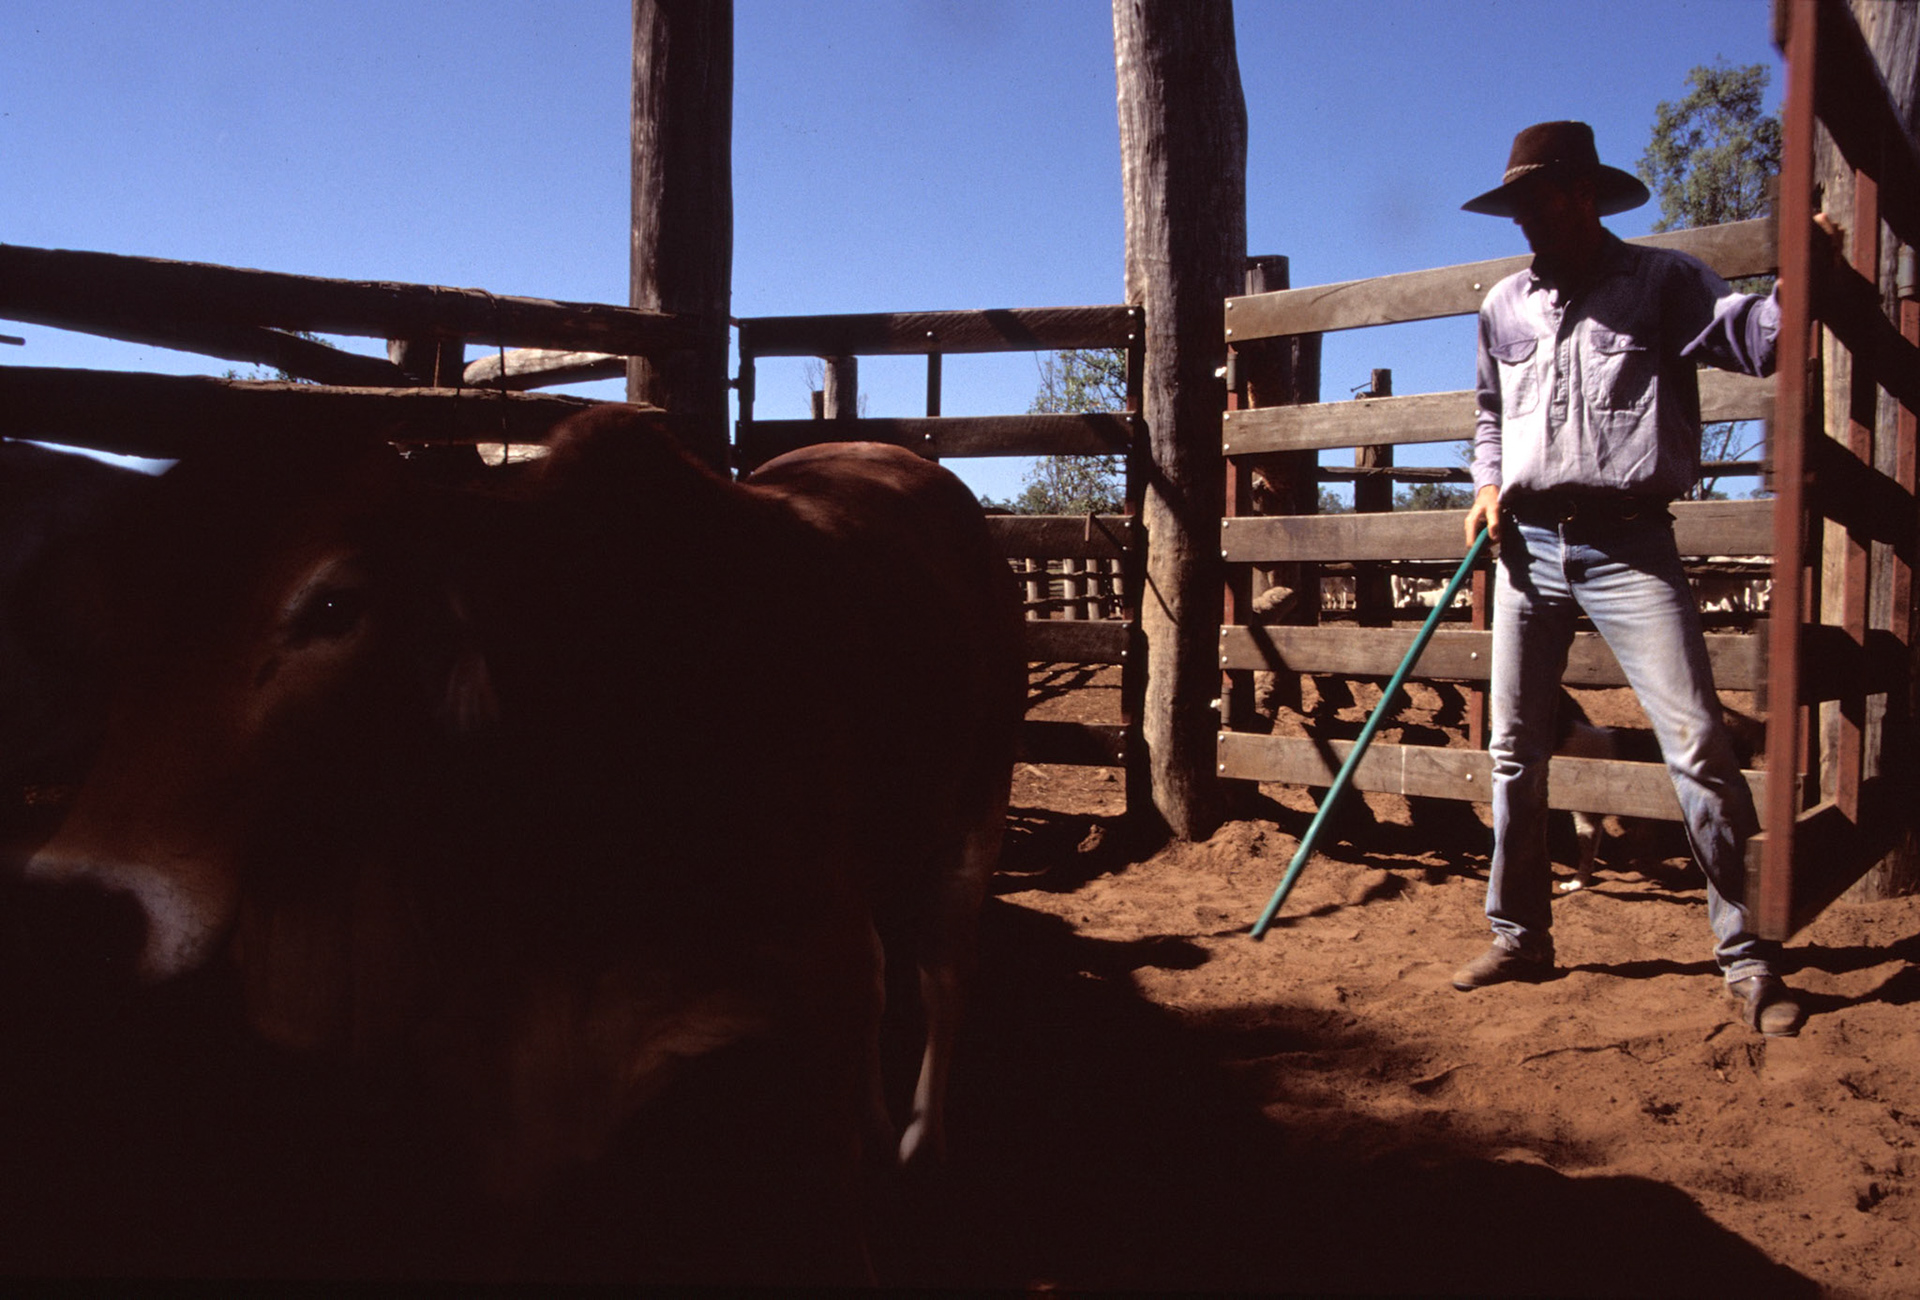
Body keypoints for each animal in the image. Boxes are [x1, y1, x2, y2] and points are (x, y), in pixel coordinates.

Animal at [19, 406, 1024, 1281]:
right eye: (120, 612)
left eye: (337, 605)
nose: (84, 909)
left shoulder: (817, 992)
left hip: (974, 809)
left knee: (941, 971)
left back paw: (921, 1142)